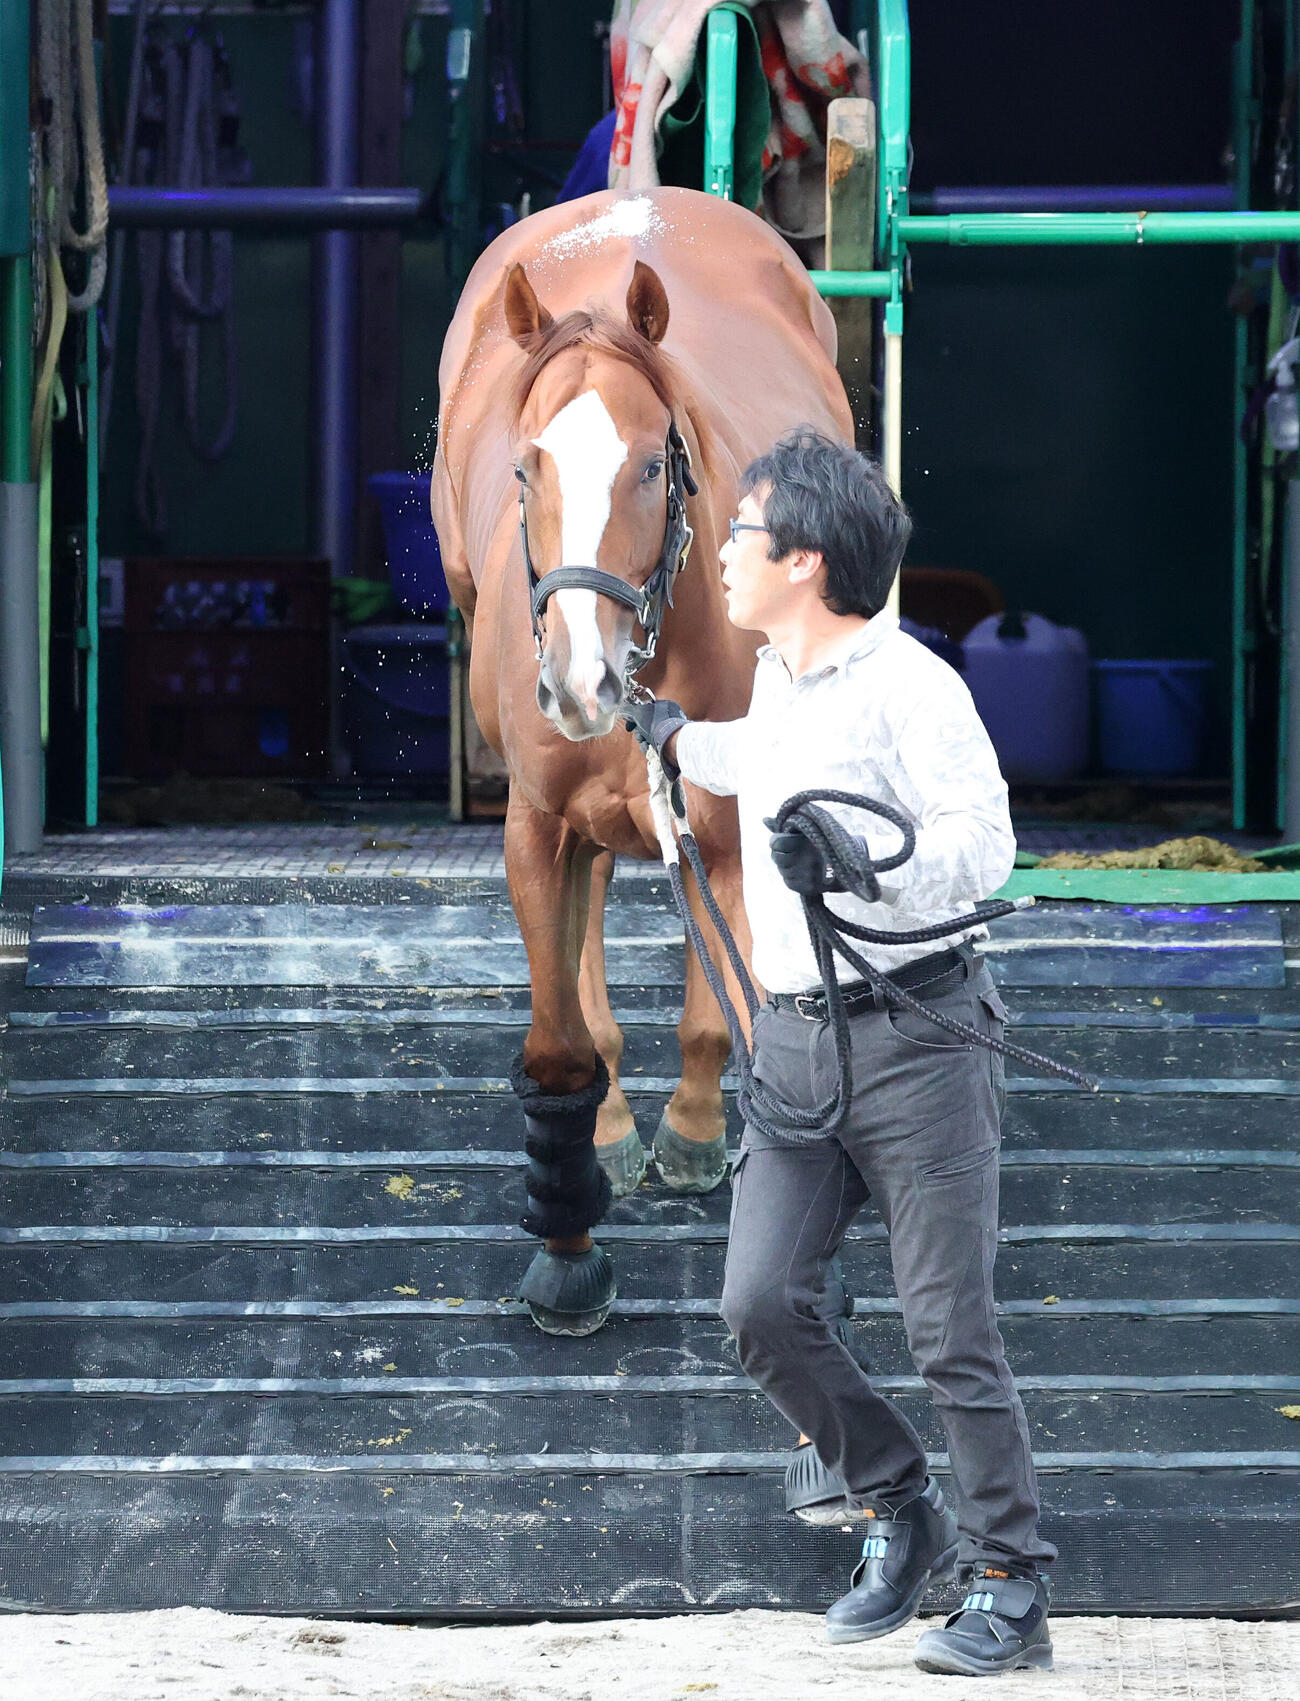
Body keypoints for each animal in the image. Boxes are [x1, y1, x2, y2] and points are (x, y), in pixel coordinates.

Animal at [432, 187, 852, 1334]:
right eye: (526, 464)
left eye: (654, 464)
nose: (581, 681)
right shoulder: (534, 827)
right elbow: (560, 1044)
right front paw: (568, 1258)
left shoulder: (738, 831)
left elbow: (732, 1016)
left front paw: (710, 1140)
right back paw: (612, 1130)